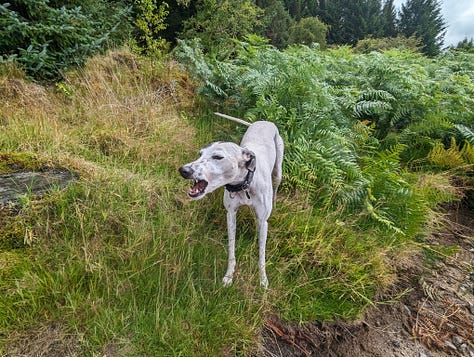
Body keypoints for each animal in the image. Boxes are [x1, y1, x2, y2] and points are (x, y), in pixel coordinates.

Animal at [177, 112, 282, 288]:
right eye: (200, 154)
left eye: (218, 156)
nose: (183, 170)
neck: (244, 185)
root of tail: (264, 121)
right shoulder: (231, 214)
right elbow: (232, 249)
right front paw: (229, 276)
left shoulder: (263, 221)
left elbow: (262, 255)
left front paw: (262, 279)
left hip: (278, 168)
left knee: (276, 184)